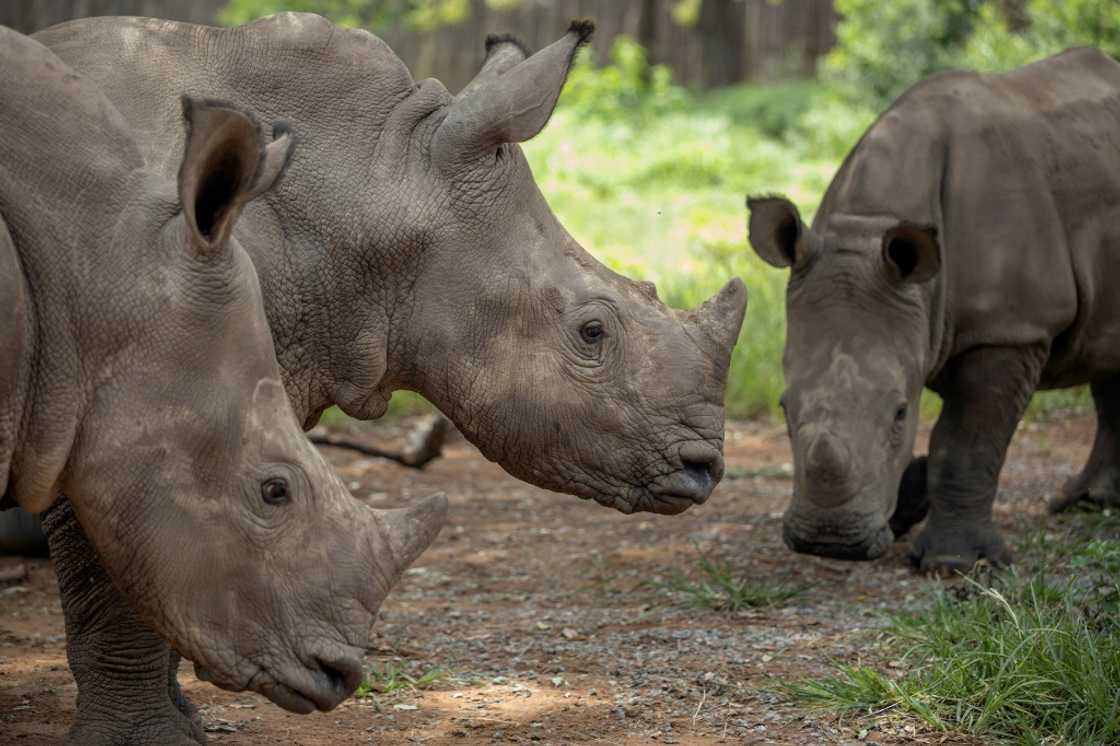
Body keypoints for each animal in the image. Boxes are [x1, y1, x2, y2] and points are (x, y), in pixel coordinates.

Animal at [748, 48, 1120, 572]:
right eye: (782, 406)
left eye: (901, 413)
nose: (829, 541)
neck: (868, 225)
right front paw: (908, 502)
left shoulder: (1010, 326)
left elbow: (965, 439)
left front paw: (952, 563)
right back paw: (1086, 502)